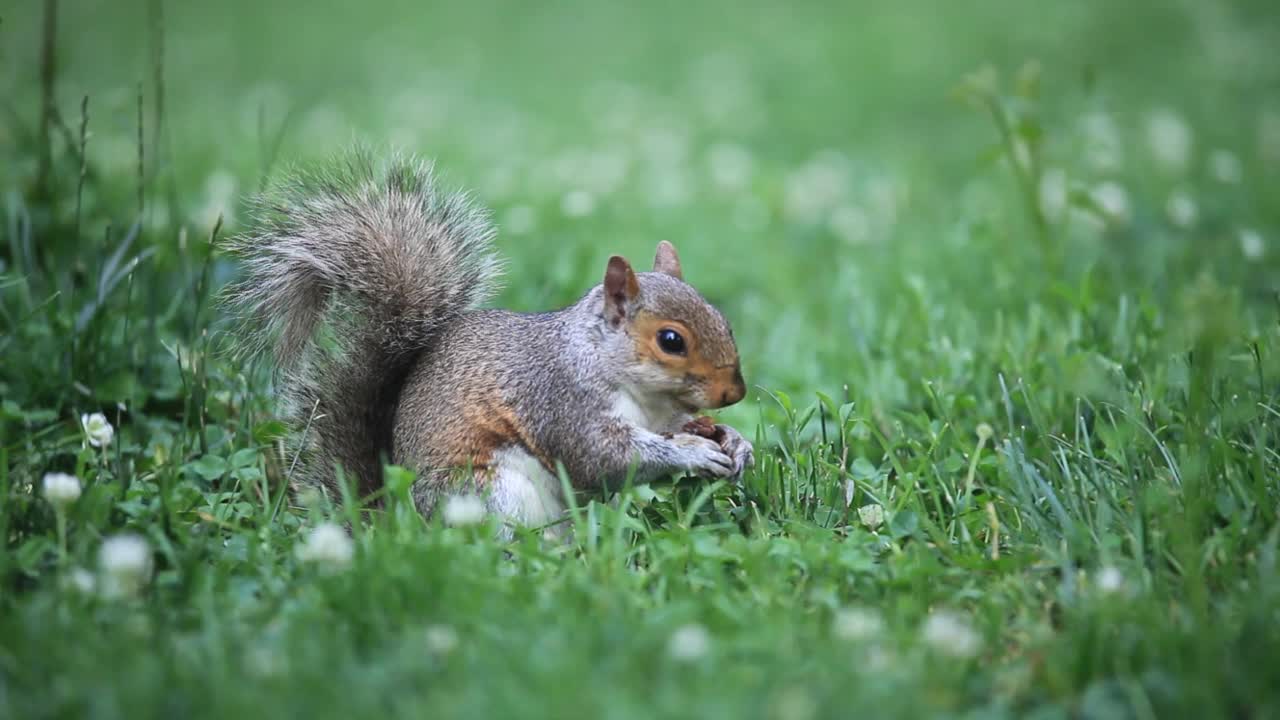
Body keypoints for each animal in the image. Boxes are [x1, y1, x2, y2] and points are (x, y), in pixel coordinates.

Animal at [226, 151, 752, 530]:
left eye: (724, 320)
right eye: (671, 340)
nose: (735, 393)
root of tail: (400, 524)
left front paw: (734, 441)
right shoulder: (561, 402)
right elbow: (603, 458)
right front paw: (693, 452)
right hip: (487, 493)